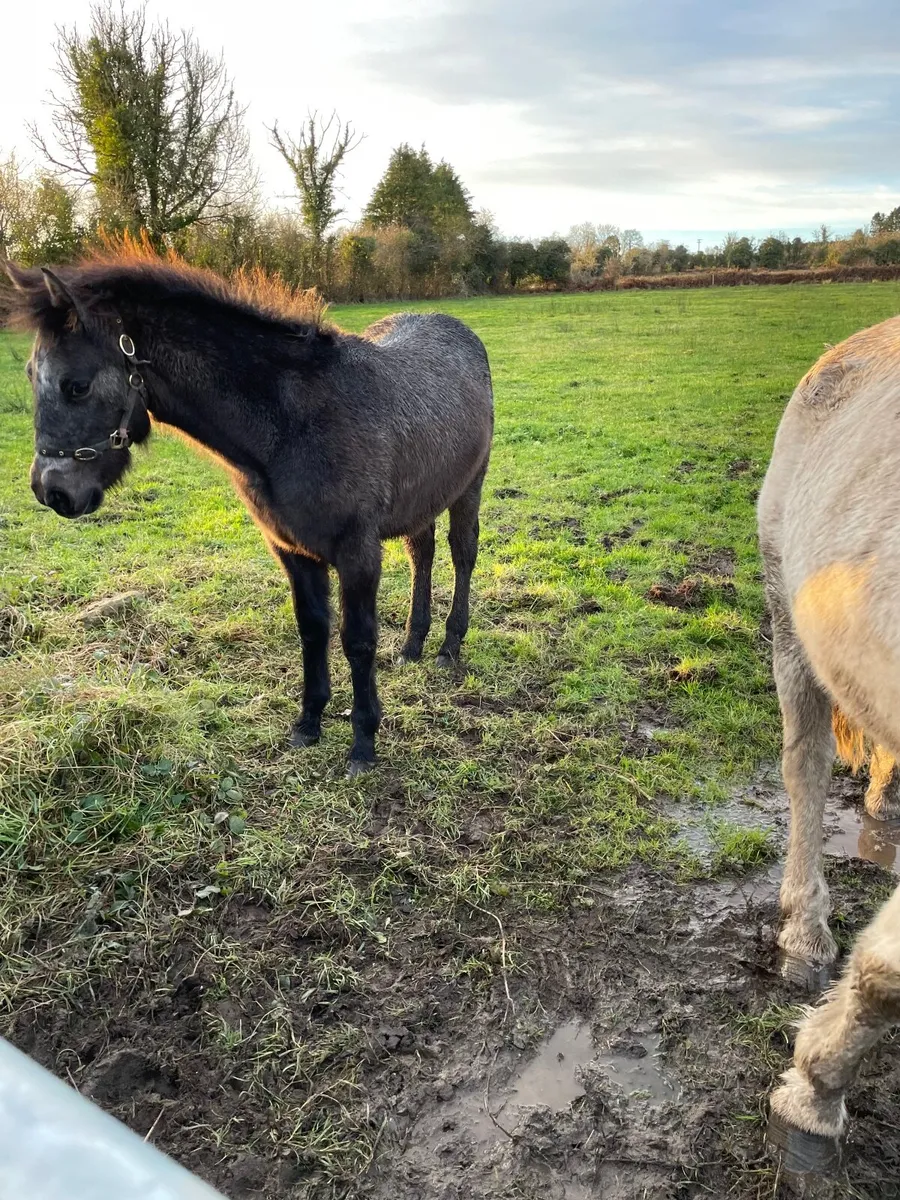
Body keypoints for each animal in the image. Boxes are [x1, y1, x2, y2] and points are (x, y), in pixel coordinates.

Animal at [3, 253, 493, 775]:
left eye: (76, 386)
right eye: (31, 374)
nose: (51, 491)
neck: (291, 426)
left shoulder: (358, 554)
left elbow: (357, 640)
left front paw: (363, 742)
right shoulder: (293, 551)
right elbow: (313, 630)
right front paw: (308, 723)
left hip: (469, 487)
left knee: (462, 554)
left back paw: (448, 646)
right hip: (423, 501)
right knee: (423, 555)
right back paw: (412, 645)